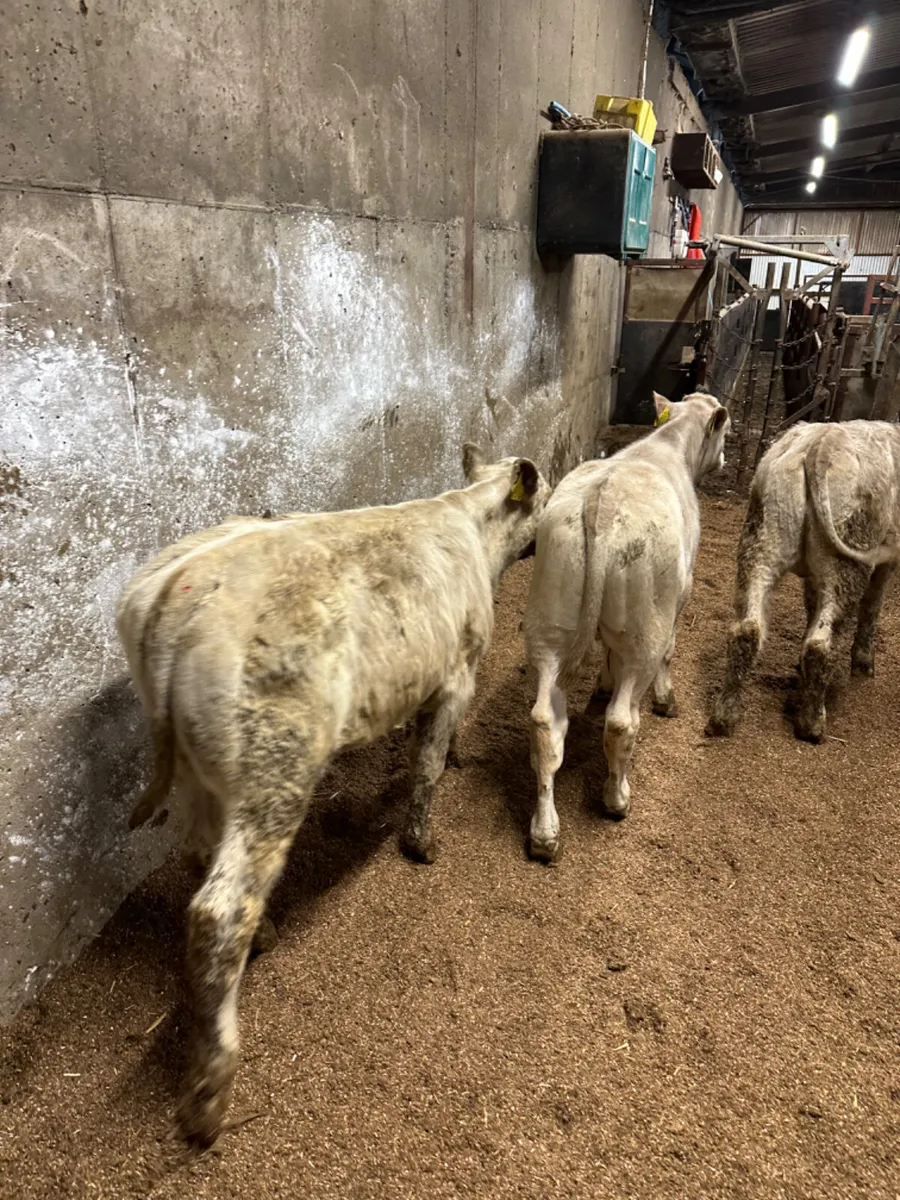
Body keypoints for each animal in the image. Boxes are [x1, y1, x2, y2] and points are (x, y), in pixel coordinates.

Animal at [116, 445, 550, 1146]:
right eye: (549, 494)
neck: (468, 525)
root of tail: (178, 591)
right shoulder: (457, 669)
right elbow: (426, 765)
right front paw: (420, 841)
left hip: (198, 771)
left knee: (199, 854)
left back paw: (262, 939)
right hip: (278, 762)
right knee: (219, 908)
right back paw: (209, 1093)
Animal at [524, 391, 730, 862]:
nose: (726, 457)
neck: (669, 444)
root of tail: (602, 501)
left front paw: (601, 683)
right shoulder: (681, 593)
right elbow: (670, 651)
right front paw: (665, 700)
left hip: (550, 619)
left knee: (545, 723)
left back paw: (544, 833)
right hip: (644, 627)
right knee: (620, 722)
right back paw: (617, 798)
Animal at [707, 420, 898, 744]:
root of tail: (819, 445)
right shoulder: (886, 560)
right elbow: (873, 606)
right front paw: (864, 665)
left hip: (762, 540)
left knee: (747, 629)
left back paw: (724, 716)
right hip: (847, 558)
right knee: (820, 643)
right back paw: (811, 724)